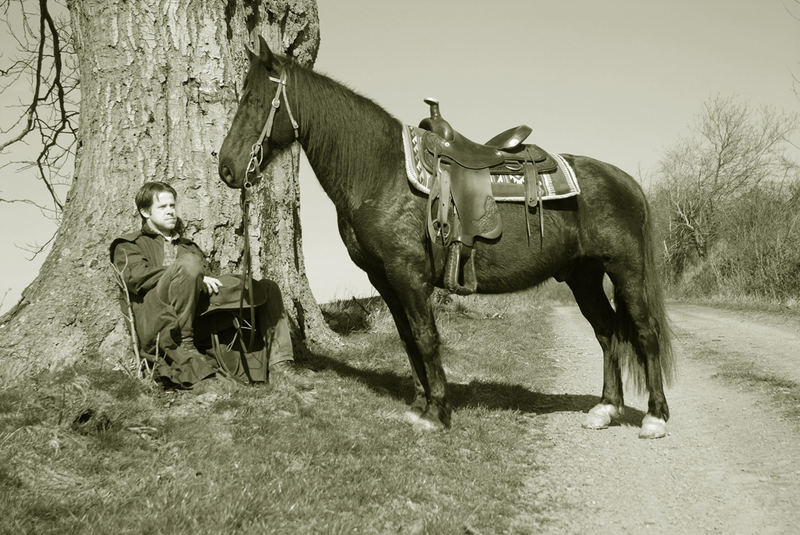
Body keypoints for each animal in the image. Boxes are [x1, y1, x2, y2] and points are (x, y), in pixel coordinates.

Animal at [216, 36, 672, 440]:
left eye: (254, 101)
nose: (226, 168)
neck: (380, 173)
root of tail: (626, 181)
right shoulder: (384, 278)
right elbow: (407, 338)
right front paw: (420, 404)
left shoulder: (408, 273)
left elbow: (426, 336)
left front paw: (438, 412)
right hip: (583, 276)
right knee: (607, 331)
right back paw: (606, 409)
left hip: (626, 270)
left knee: (644, 331)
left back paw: (654, 417)